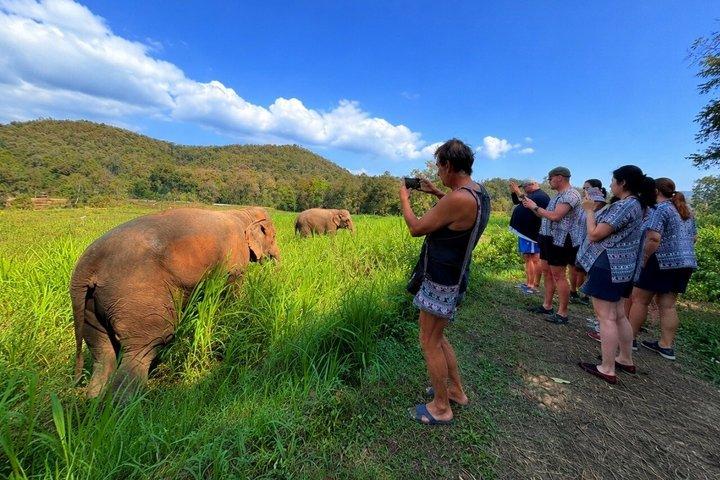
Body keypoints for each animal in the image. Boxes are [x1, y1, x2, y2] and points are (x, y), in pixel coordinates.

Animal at [69, 207, 279, 397]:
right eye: (275, 236)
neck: (244, 213)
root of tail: (87, 266)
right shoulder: (234, 264)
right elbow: (231, 294)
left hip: (91, 305)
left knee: (103, 352)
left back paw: (95, 403)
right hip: (137, 298)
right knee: (145, 347)